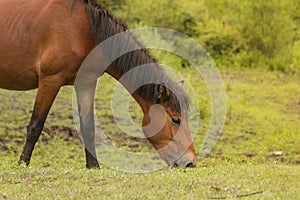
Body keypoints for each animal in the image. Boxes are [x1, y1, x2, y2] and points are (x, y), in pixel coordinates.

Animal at [0, 0, 197, 169]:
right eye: (175, 119)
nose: (190, 162)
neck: (85, 32)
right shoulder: (50, 80)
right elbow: (35, 125)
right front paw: (22, 164)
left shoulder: (86, 83)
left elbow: (88, 127)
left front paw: (93, 166)